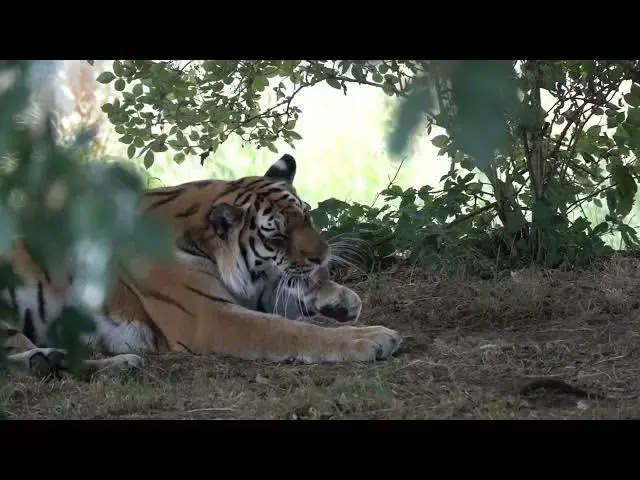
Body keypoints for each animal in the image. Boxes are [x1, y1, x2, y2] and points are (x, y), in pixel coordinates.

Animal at [1, 153, 403, 379]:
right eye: (276, 235)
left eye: (307, 217)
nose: (323, 256)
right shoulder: (209, 317)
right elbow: (294, 331)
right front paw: (372, 338)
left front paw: (341, 299)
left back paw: (93, 364)